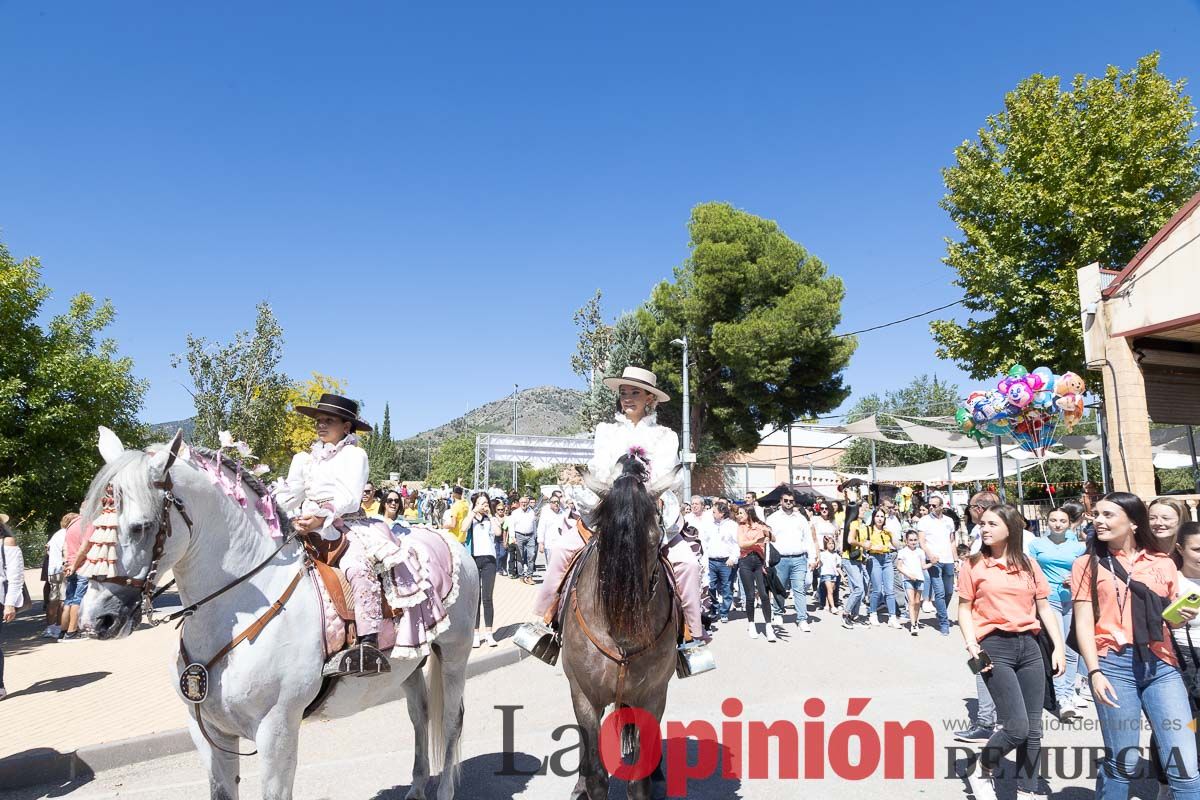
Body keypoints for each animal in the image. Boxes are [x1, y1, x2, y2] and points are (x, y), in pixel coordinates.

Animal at [76, 431, 482, 800]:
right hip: (410, 663)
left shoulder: (277, 730)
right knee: (420, 716)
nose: (97, 619)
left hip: (454, 655)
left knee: (452, 719)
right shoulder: (209, 732)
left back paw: (444, 790)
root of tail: (451, 543)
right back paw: (416, 788)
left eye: (141, 526)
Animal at [559, 455, 681, 800]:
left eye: (655, 541)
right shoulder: (583, 695)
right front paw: (586, 784)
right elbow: (597, 774)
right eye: (603, 540)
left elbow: (638, 781)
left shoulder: (654, 696)